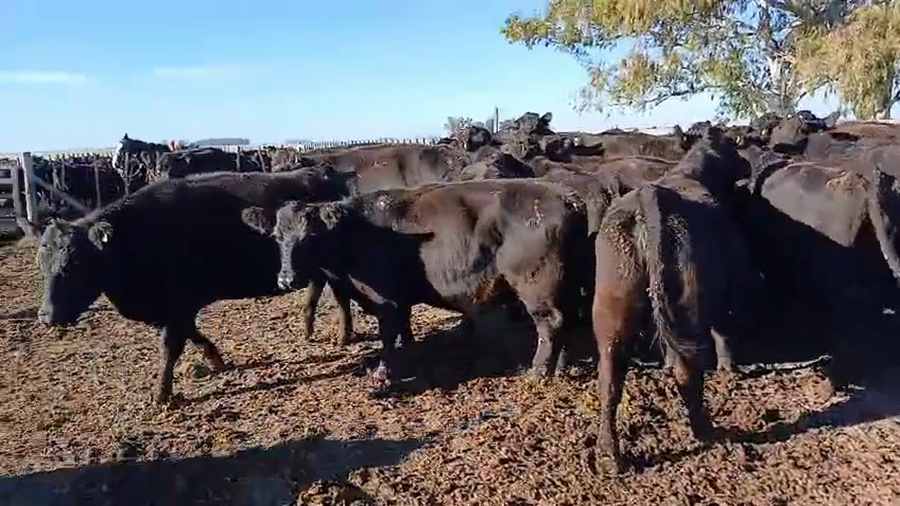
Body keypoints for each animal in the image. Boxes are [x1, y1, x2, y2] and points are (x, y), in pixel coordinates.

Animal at [35, 166, 358, 405]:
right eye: (42, 262)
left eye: (74, 263)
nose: (46, 316)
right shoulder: (177, 309)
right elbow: (194, 335)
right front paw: (216, 360)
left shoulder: (177, 305)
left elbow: (170, 347)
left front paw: (161, 394)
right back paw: (309, 330)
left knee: (341, 296)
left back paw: (344, 336)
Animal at [242, 179, 593, 395]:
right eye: (277, 237)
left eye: (310, 236)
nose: (286, 279)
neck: (357, 231)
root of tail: (569, 198)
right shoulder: (399, 296)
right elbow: (405, 325)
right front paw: (409, 347)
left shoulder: (384, 299)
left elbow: (387, 337)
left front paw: (383, 374)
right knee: (566, 323)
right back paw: (561, 366)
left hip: (538, 288)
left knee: (550, 325)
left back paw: (537, 373)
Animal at [587, 127, 754, 474]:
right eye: (731, 145)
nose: (747, 164)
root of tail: (649, 195)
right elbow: (725, 330)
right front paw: (729, 368)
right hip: (688, 304)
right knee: (687, 372)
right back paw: (705, 431)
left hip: (611, 306)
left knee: (609, 380)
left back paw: (610, 456)